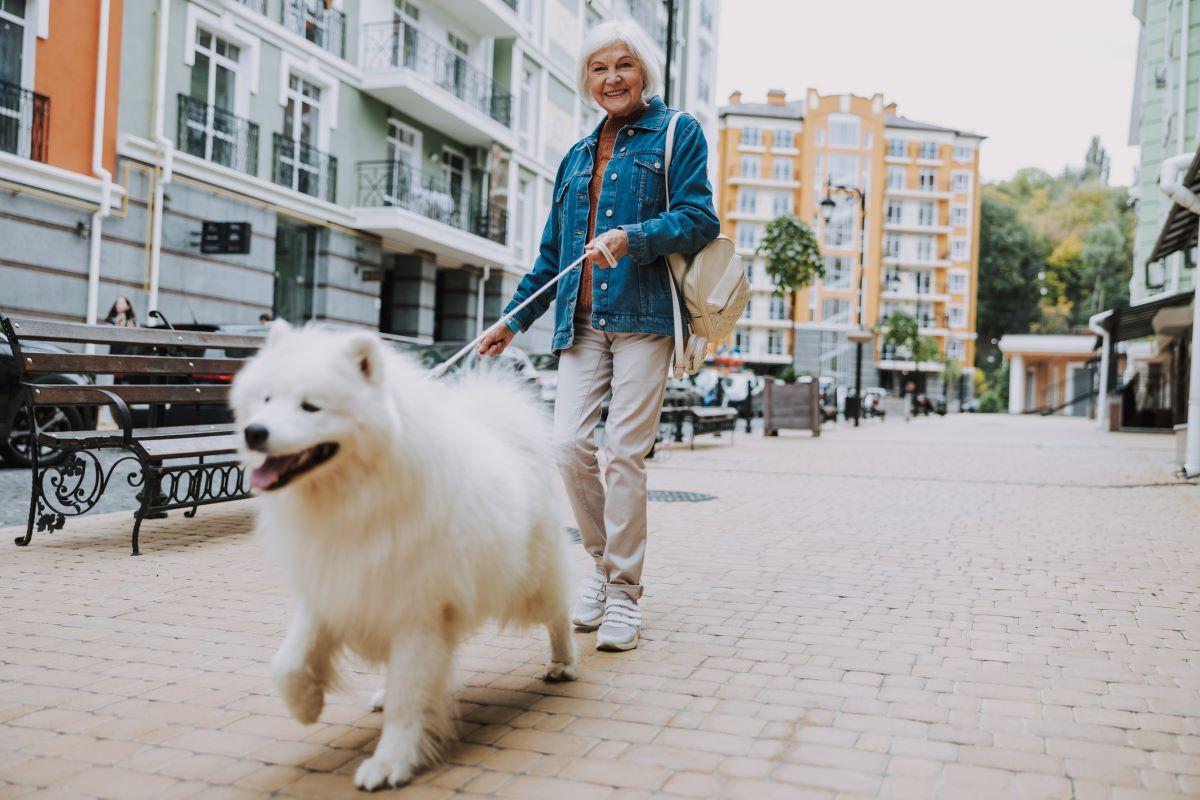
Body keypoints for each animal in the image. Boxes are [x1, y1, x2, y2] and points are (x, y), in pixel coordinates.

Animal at [230, 321, 580, 791]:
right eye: (266, 399)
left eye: (311, 407)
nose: (254, 431)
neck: (356, 498)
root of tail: (506, 435)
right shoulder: (335, 584)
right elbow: (287, 663)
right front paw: (306, 705)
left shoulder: (420, 613)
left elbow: (408, 696)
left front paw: (389, 762)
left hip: (527, 583)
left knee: (557, 613)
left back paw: (563, 663)